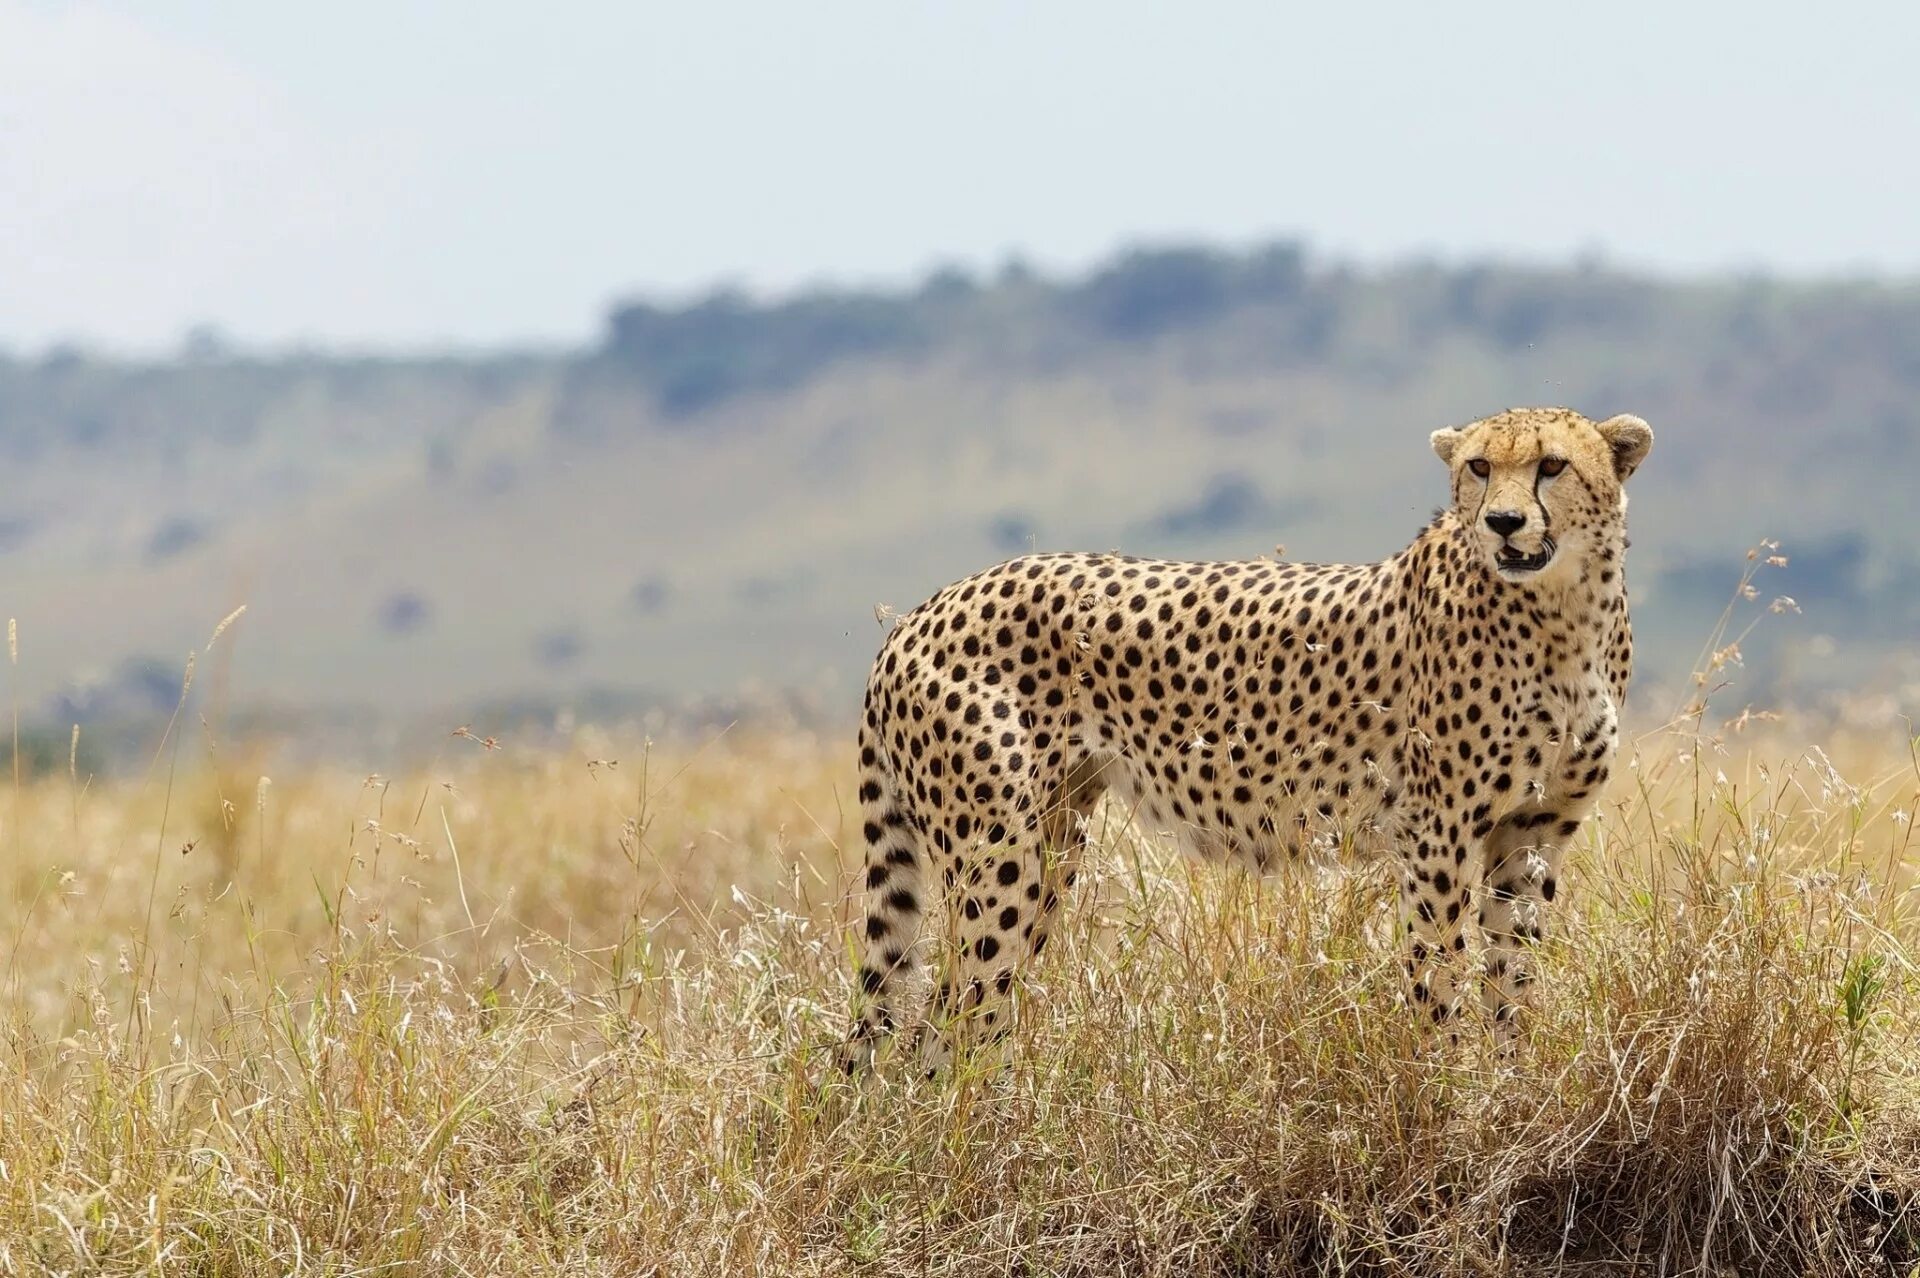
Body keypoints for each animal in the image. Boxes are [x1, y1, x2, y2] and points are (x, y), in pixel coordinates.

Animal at [848, 408, 1658, 1066]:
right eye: (1480, 468)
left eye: (1552, 465)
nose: (1503, 523)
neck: (1564, 613)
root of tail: (921, 611)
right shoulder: (1439, 831)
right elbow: (1440, 971)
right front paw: (1453, 1090)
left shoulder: (1532, 830)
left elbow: (1511, 978)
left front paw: (1510, 1082)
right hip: (998, 851)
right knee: (947, 1022)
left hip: (1051, 837)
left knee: (961, 1013)